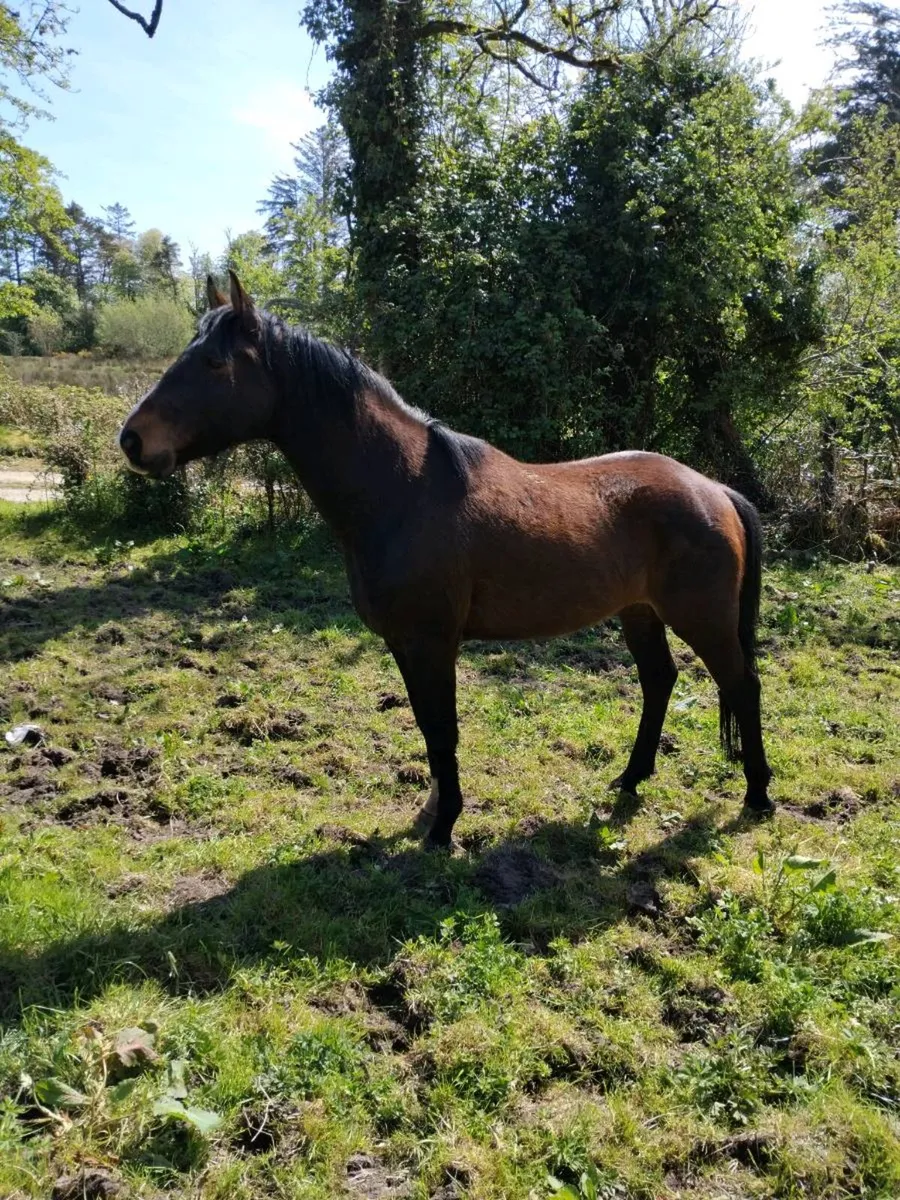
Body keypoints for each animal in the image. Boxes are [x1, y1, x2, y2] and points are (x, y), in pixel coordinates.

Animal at [118, 271, 774, 848]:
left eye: (216, 363)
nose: (133, 440)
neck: (402, 490)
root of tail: (715, 490)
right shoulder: (403, 643)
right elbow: (428, 727)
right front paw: (433, 810)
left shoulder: (432, 641)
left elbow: (444, 729)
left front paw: (444, 827)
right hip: (640, 612)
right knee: (659, 681)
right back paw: (632, 778)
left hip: (702, 618)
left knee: (742, 684)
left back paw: (758, 795)